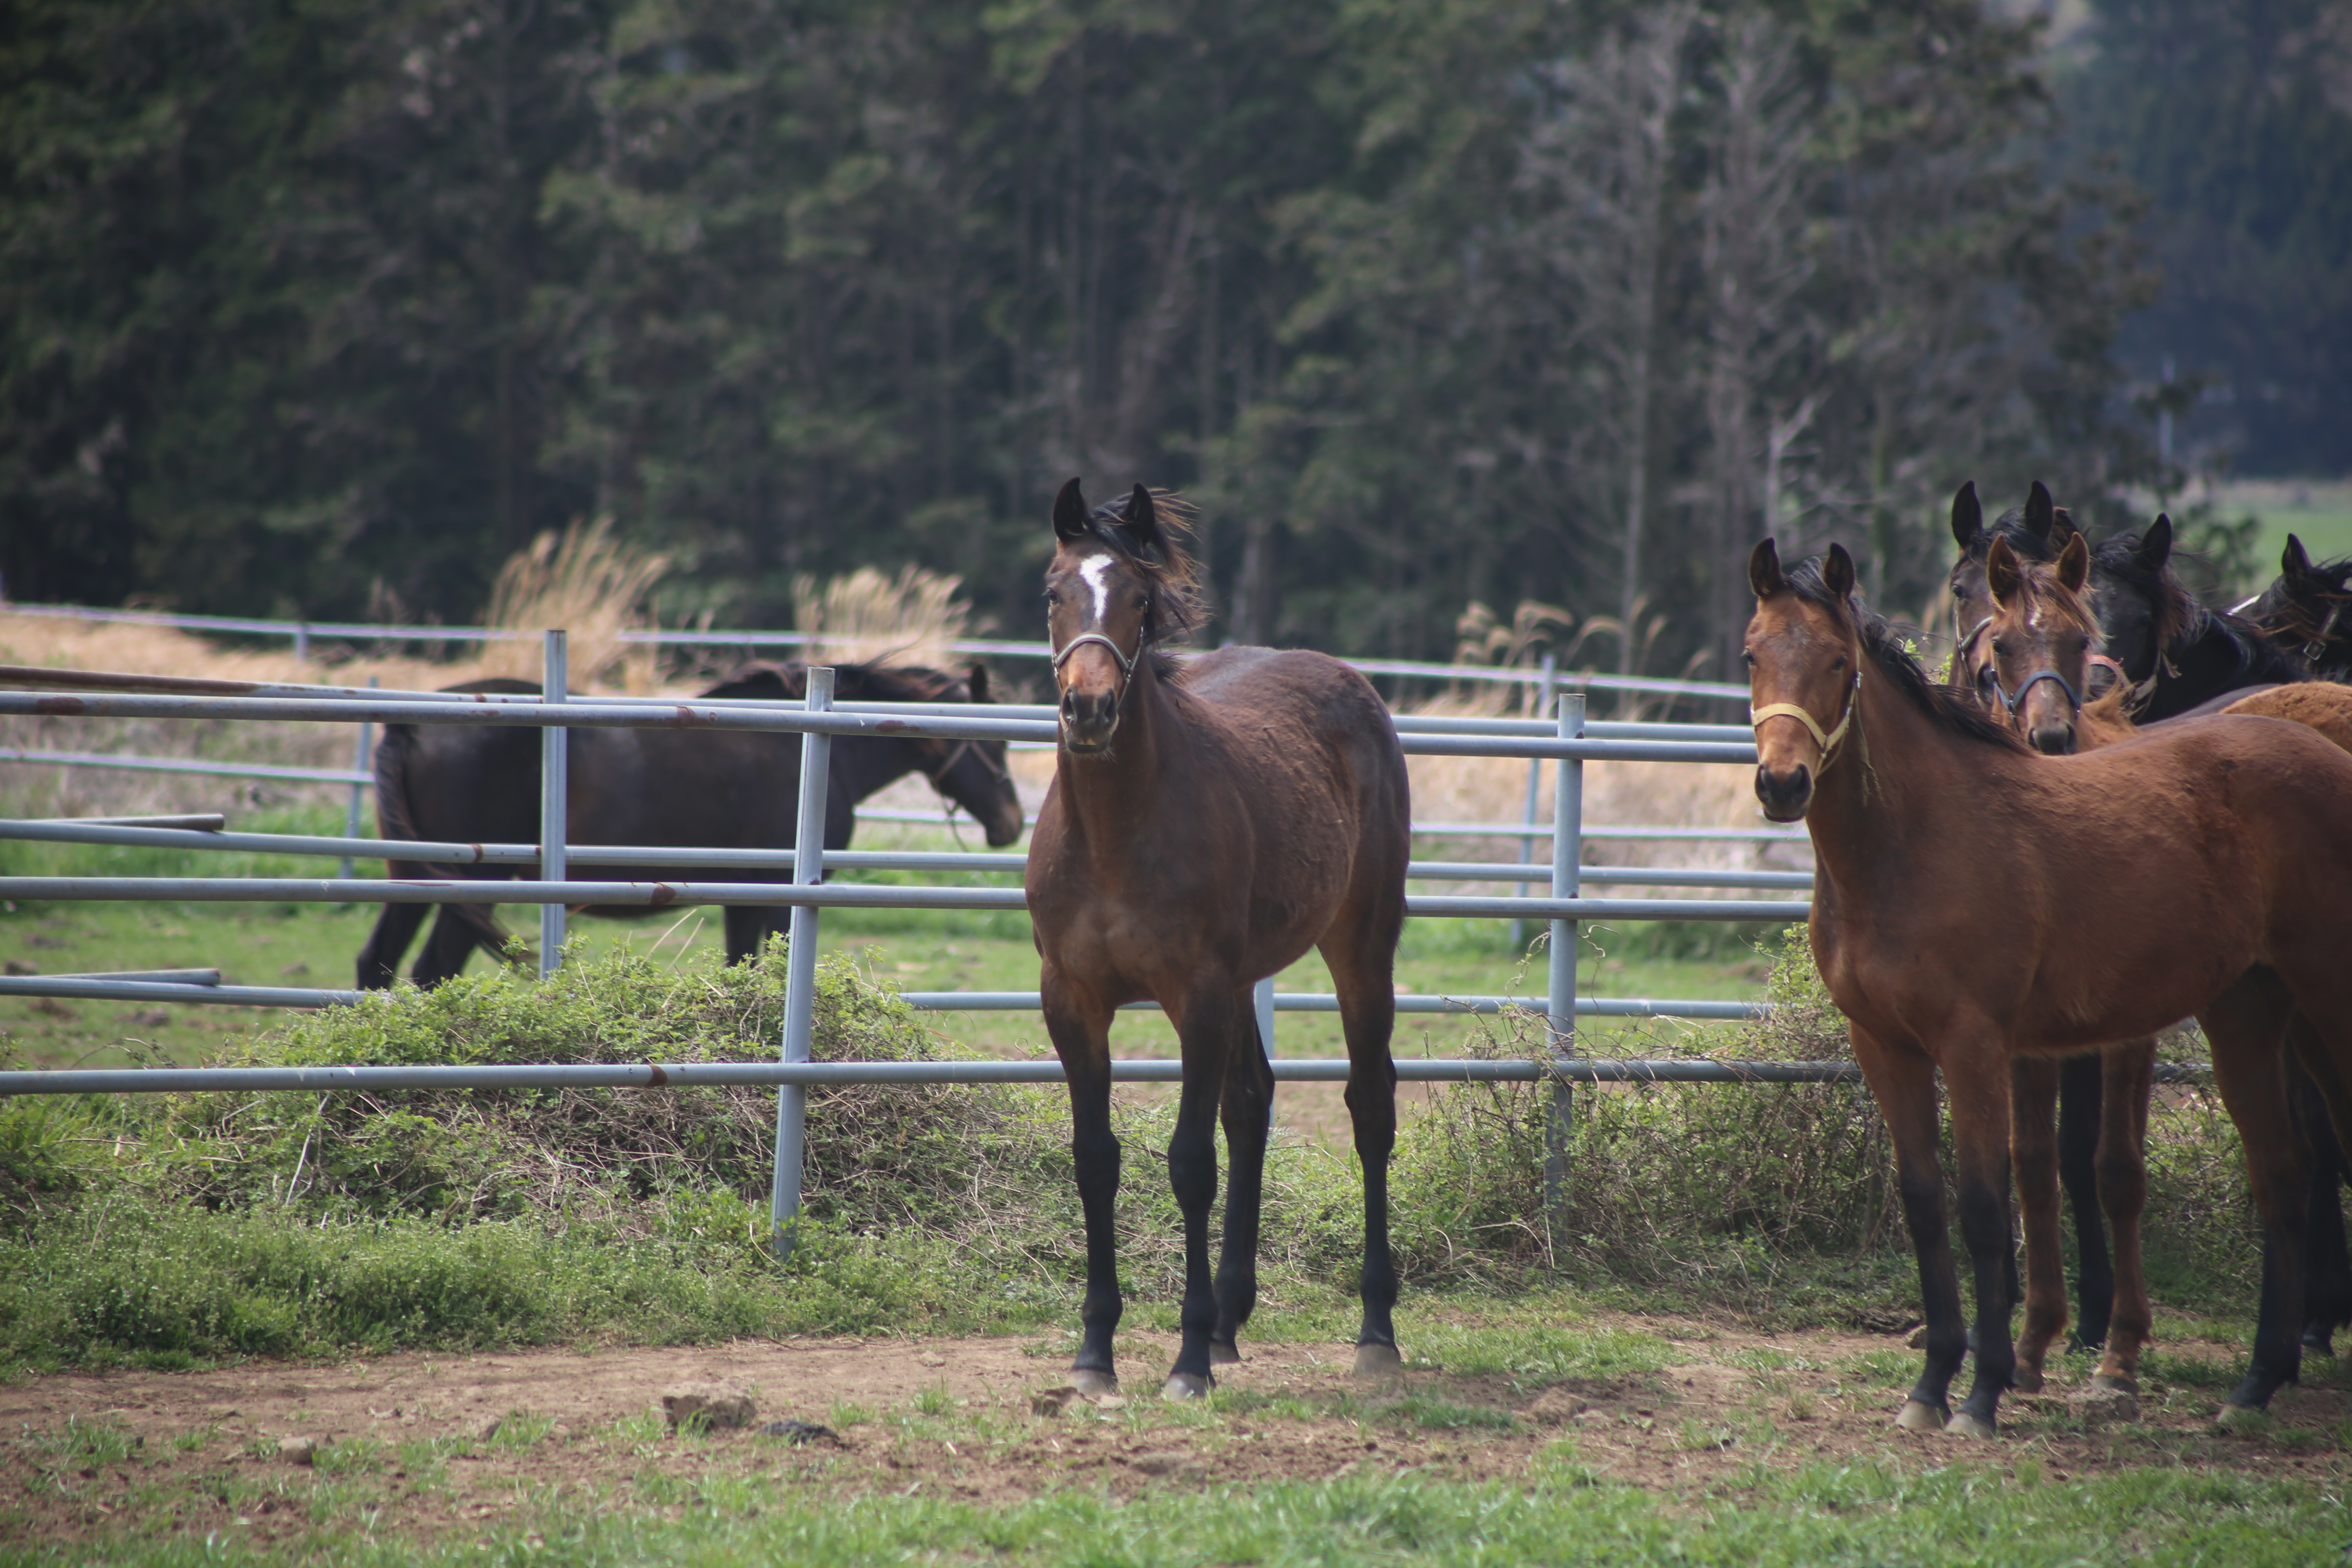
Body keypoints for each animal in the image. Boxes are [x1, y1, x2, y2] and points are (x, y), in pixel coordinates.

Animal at [1020, 479, 1401, 1401]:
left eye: (1140, 599)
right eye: (1053, 593)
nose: (1089, 709)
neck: (1115, 835)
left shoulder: (1193, 996)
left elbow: (1191, 1162)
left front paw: (1187, 1360)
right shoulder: (1072, 1002)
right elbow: (1096, 1159)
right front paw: (1096, 1353)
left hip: (1361, 948)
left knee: (1370, 1107)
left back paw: (1376, 1331)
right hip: (1240, 983)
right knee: (1252, 1103)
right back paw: (1232, 1320)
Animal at [1750, 536, 2352, 1439]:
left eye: (1837, 662)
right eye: (1753, 655)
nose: (1781, 784)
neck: (1912, 842)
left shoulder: (1973, 1046)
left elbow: (1985, 1207)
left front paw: (1984, 1389)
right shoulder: (1885, 1046)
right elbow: (1925, 1204)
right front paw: (1930, 1385)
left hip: (2327, 999)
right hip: (2254, 1012)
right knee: (2284, 1171)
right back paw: (2257, 1382)